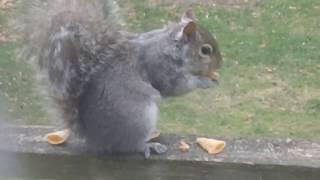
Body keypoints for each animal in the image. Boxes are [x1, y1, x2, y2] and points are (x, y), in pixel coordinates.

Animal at [16, 0, 221, 158]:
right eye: (205, 50)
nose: (221, 64)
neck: (172, 47)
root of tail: (95, 137)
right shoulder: (160, 66)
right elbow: (174, 86)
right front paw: (205, 81)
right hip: (138, 116)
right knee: (127, 146)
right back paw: (147, 145)